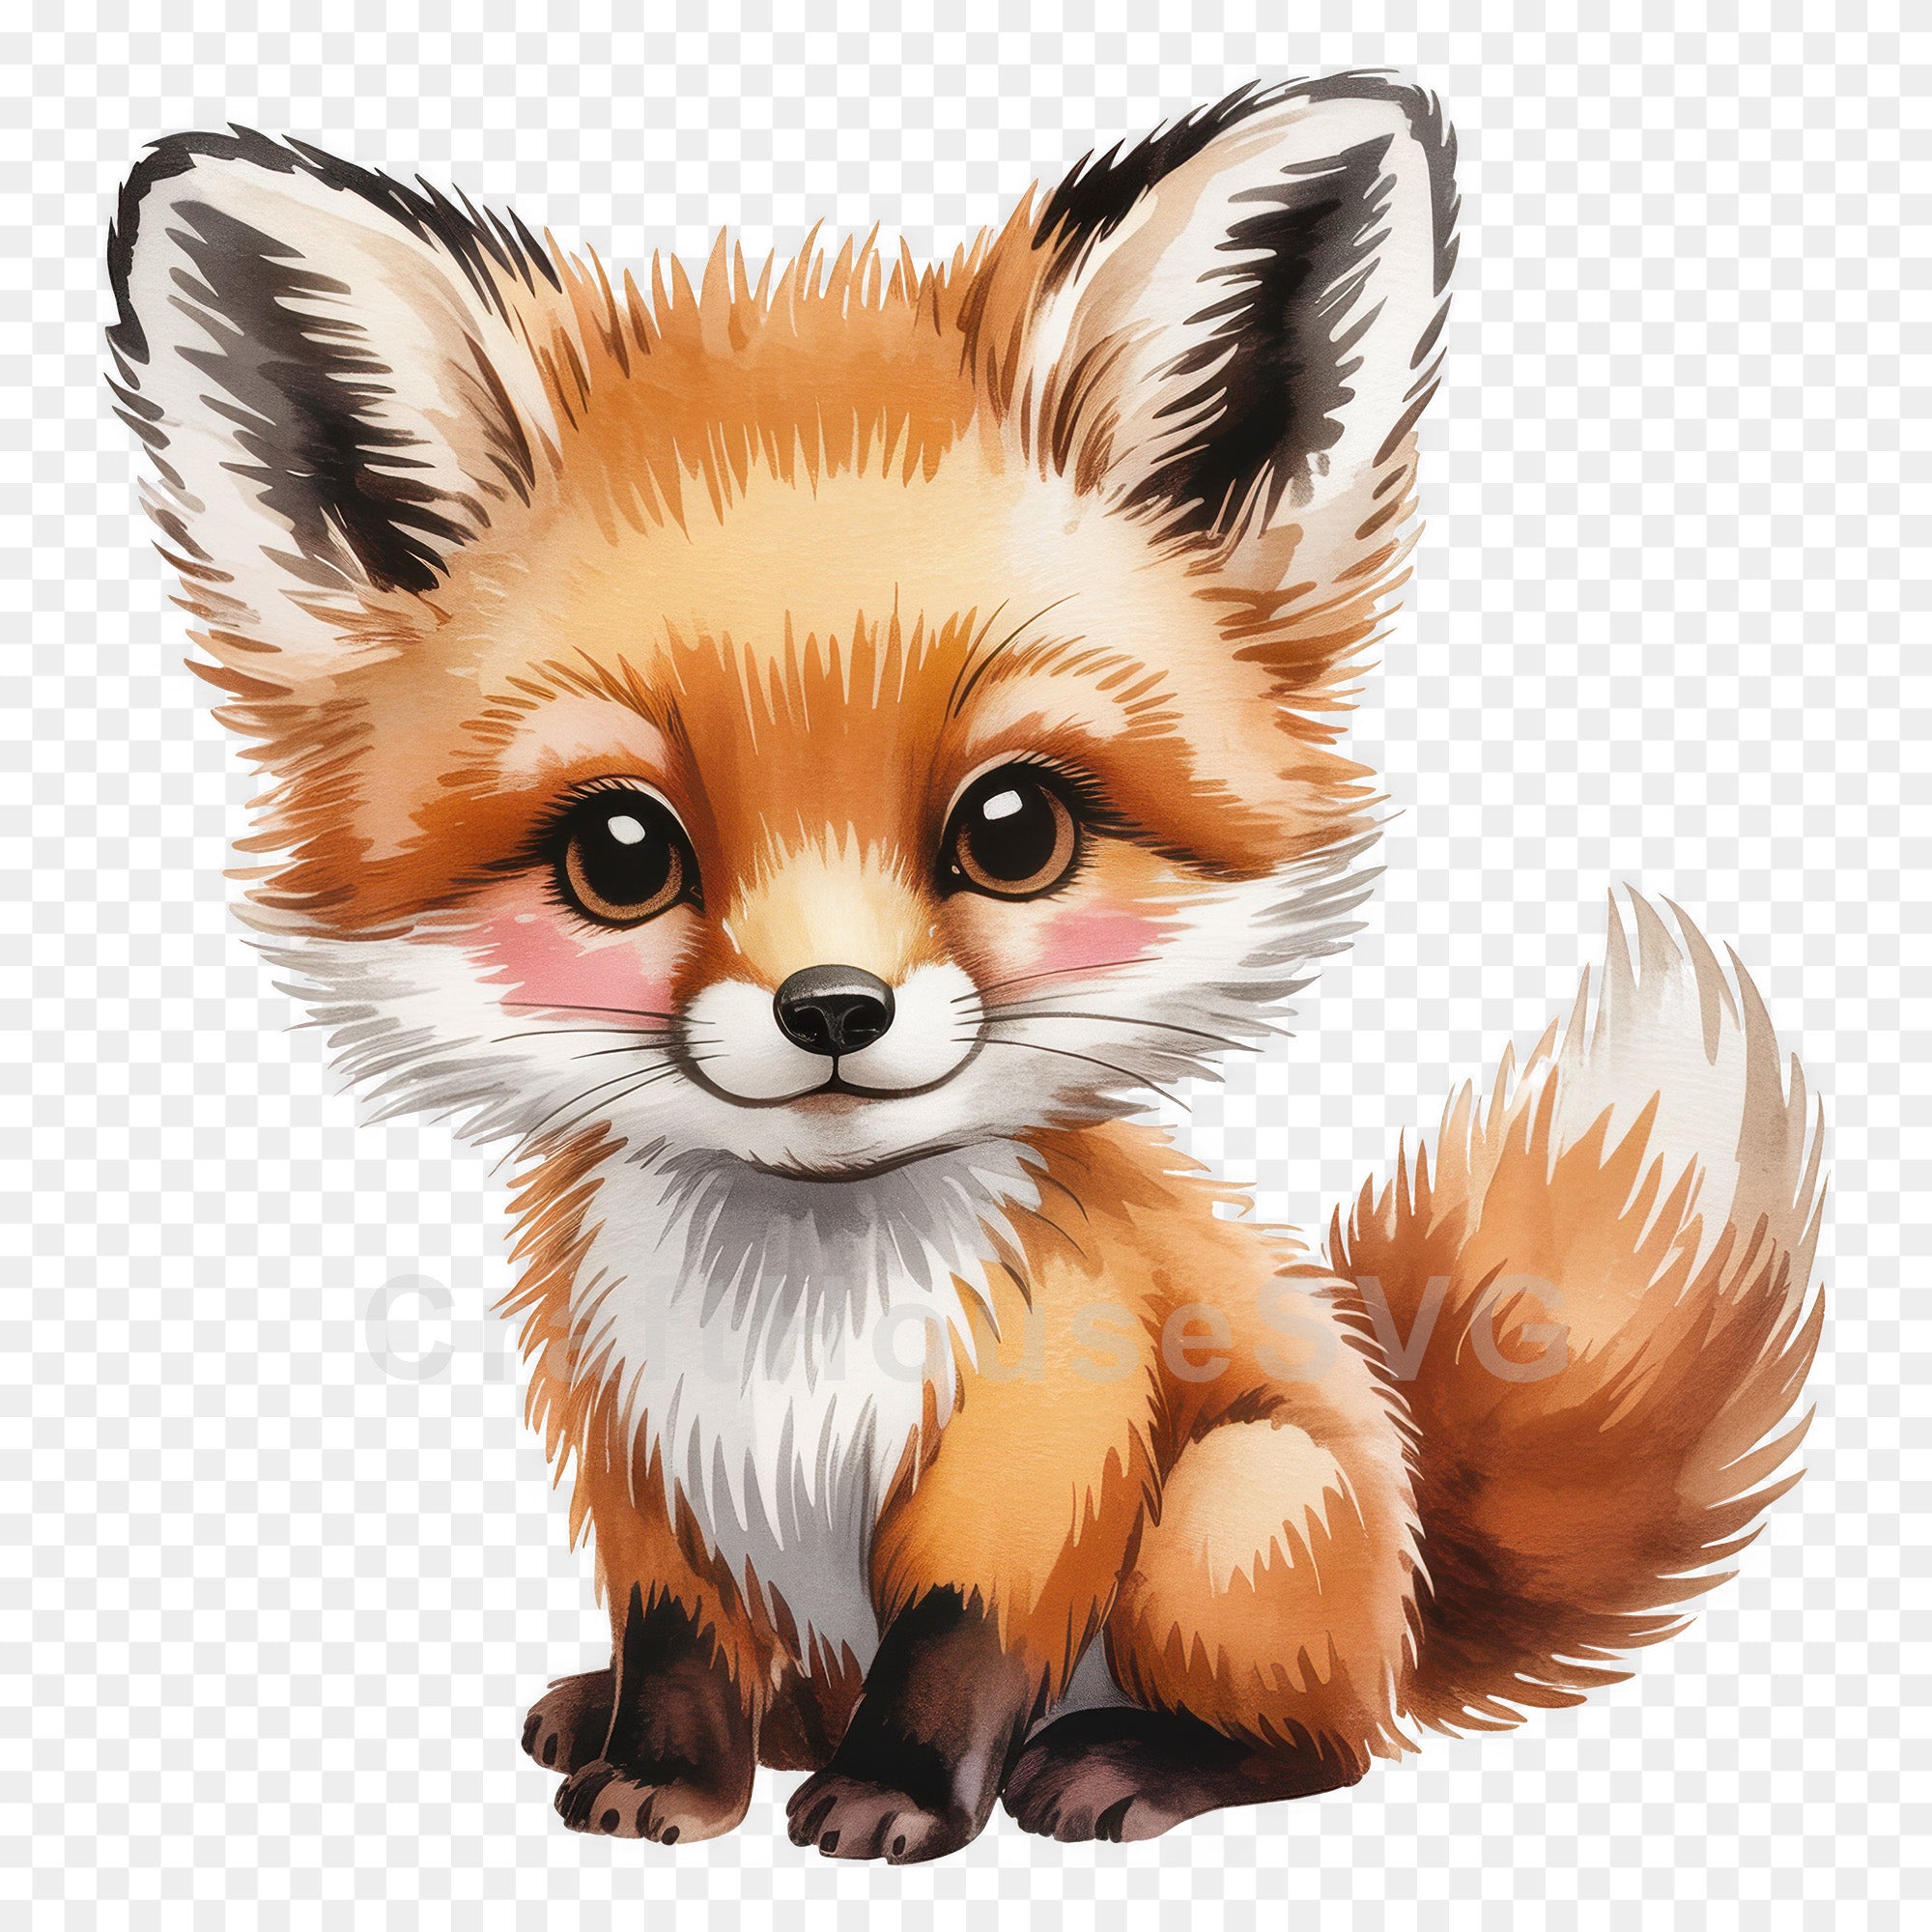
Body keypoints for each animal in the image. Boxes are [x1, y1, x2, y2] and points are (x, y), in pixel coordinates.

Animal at [105, 74, 1823, 1861]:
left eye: (1014, 829)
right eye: (622, 855)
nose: (834, 1009)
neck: (790, 1339)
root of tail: (1411, 1595)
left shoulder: (1046, 1431)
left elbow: (958, 1645)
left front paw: (898, 1803)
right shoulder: (639, 1455)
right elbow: (674, 1643)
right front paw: (664, 1780)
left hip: (1238, 1517)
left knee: (1326, 1745)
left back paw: (1132, 1764)